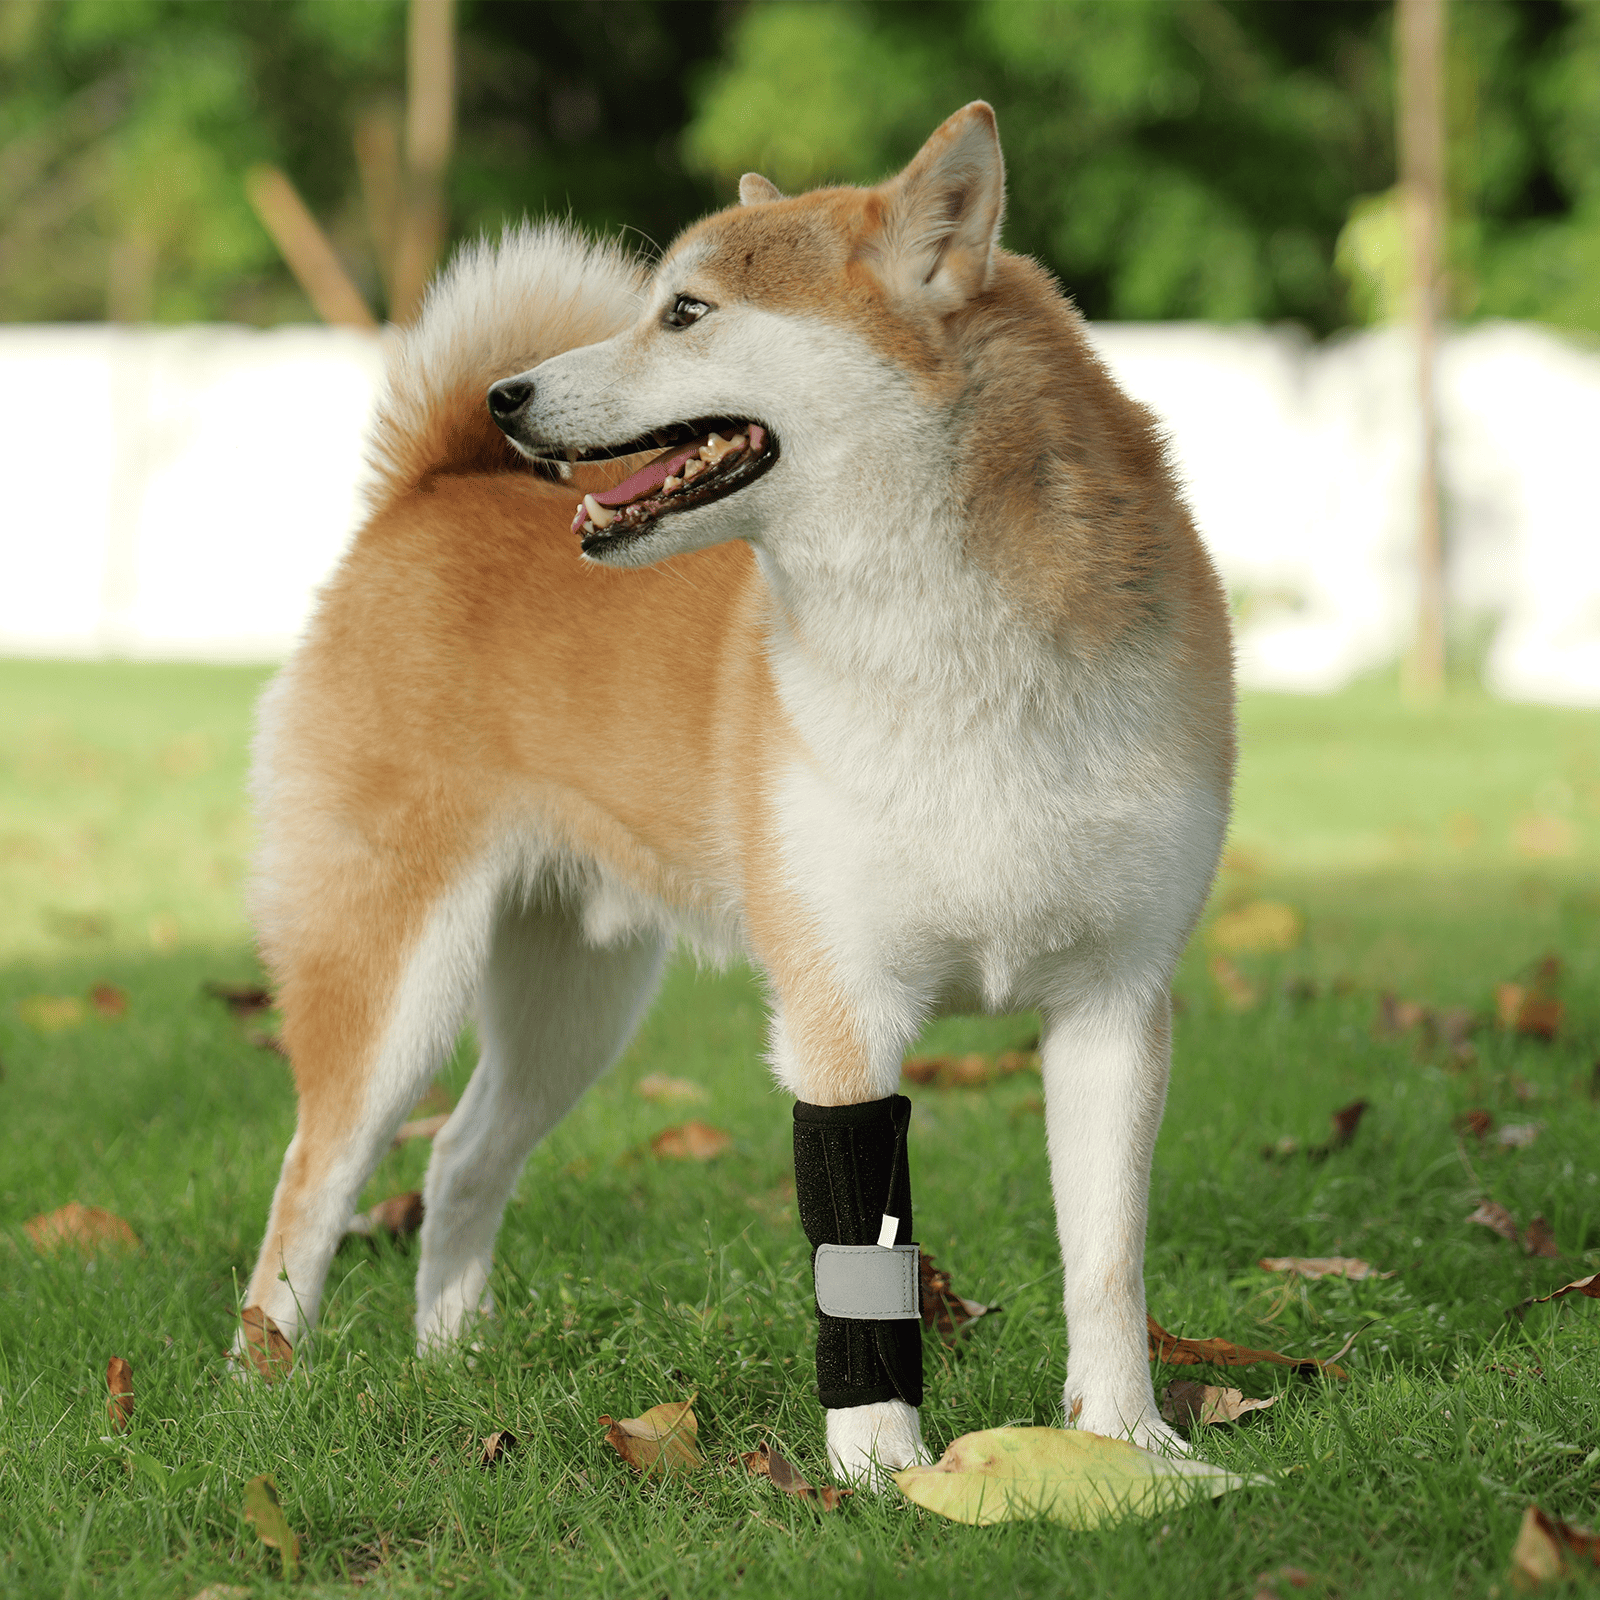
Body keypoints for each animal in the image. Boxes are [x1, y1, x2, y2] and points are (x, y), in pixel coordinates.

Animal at [240, 106, 1235, 1484]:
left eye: (687, 312)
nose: (509, 396)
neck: (948, 654)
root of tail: (431, 489)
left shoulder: (1114, 1004)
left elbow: (1106, 1262)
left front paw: (1131, 1444)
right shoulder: (840, 1008)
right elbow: (861, 1264)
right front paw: (883, 1470)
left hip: (574, 1001)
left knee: (460, 1154)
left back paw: (455, 1362)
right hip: (396, 979)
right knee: (312, 1180)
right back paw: (264, 1385)